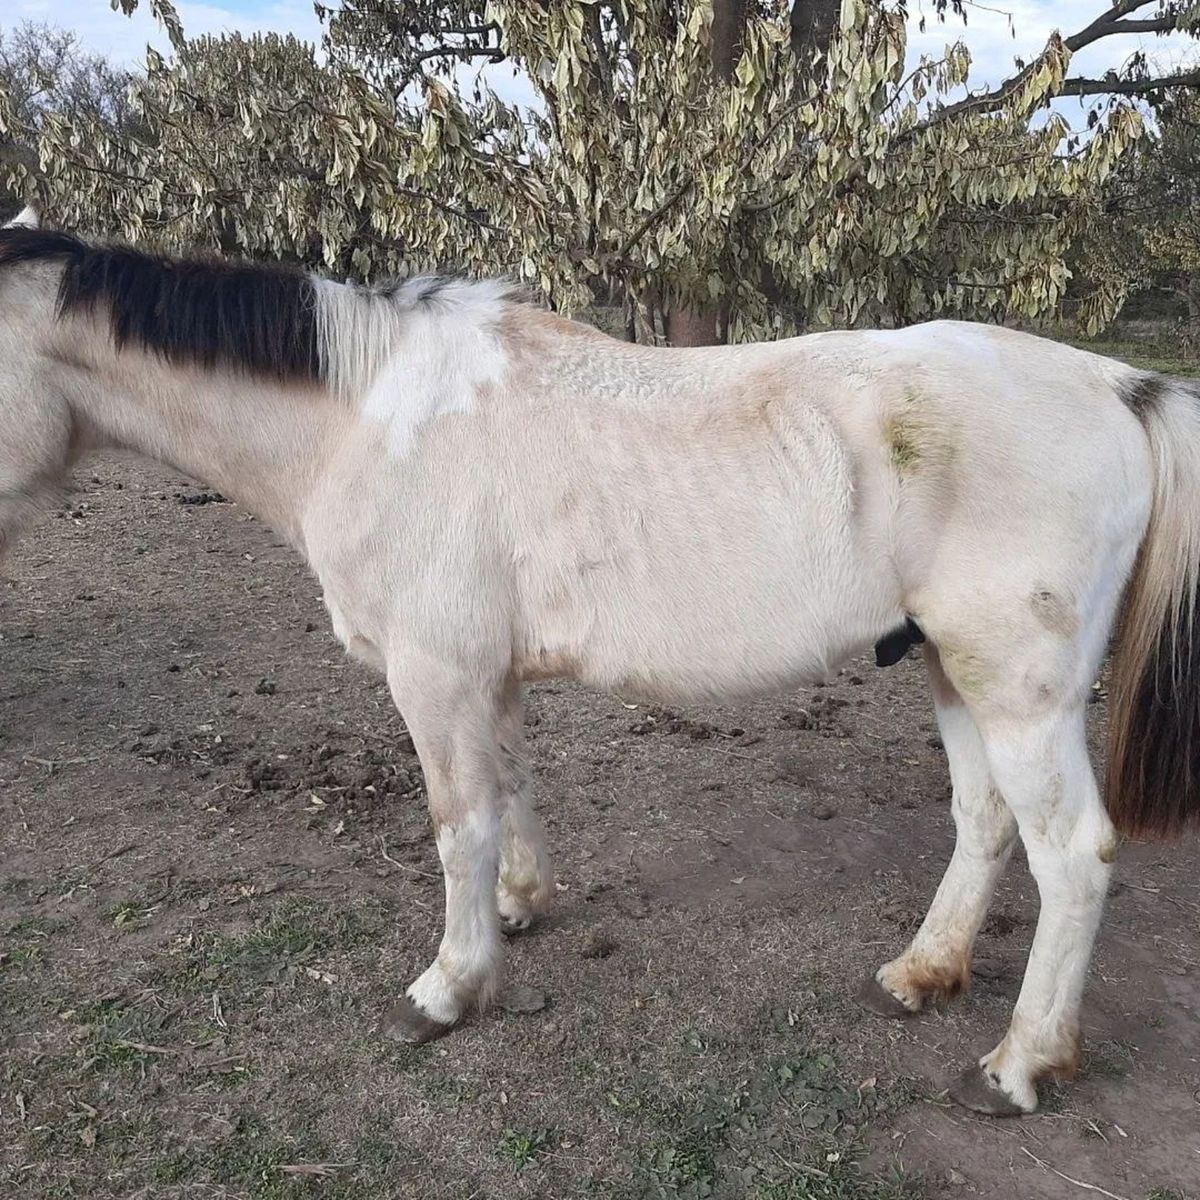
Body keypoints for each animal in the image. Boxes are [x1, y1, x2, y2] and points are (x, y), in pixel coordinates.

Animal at [1, 206, 1197, 1117]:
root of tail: (1116, 386)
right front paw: (521, 908)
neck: (371, 421)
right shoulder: (486, 678)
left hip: (1022, 693)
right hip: (954, 668)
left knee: (1072, 856)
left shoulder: (434, 677)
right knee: (984, 821)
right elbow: (509, 794)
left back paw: (1020, 1064)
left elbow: (458, 827)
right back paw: (924, 972)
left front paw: (450, 988)